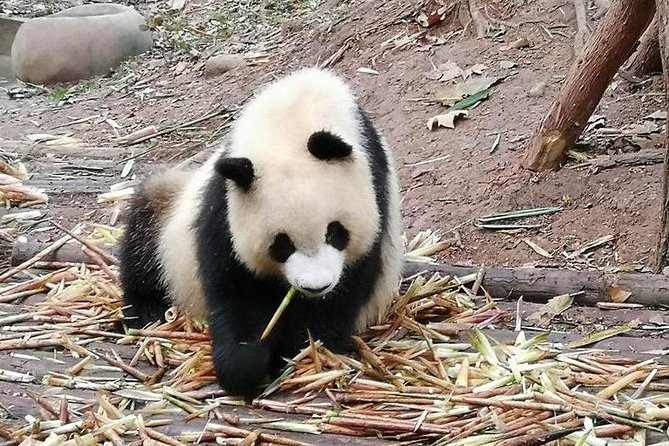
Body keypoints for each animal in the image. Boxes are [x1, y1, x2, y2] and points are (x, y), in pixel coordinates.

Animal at [119, 67, 403, 396]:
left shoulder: (374, 187)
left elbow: (346, 289)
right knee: (143, 238)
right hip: (169, 211)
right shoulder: (225, 201)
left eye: (335, 232)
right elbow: (235, 285)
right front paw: (245, 363)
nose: (315, 287)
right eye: (281, 244)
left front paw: (297, 353)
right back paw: (147, 310)